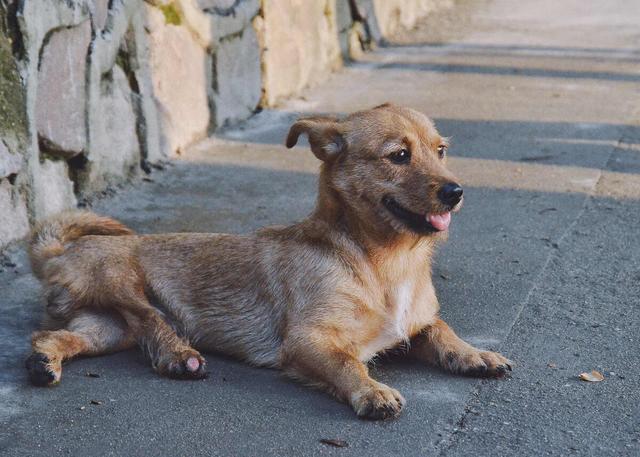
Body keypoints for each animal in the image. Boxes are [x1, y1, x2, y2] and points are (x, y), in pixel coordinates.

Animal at [27, 104, 512, 420]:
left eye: (441, 150)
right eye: (399, 155)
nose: (456, 192)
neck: (382, 264)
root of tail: (57, 252)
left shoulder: (415, 325)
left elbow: (443, 329)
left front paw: (476, 354)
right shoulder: (308, 341)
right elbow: (348, 363)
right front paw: (371, 391)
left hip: (106, 330)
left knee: (53, 335)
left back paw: (43, 360)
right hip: (121, 279)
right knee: (148, 317)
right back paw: (179, 354)